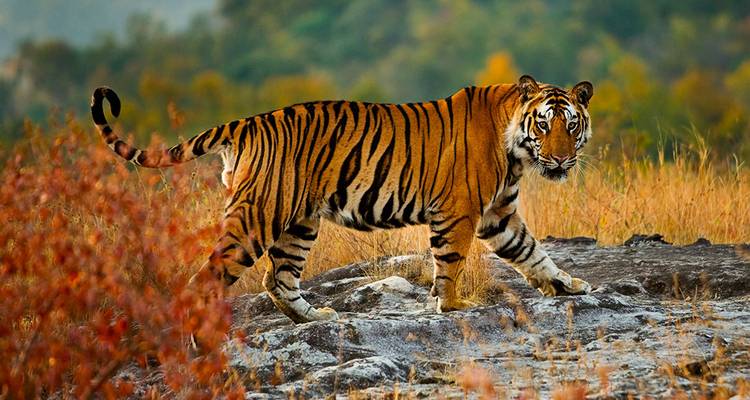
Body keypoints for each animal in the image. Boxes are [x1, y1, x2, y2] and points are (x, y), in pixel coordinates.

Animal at [91, 75, 593, 324]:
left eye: (571, 126)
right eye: (544, 125)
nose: (561, 160)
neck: (516, 151)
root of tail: (247, 122)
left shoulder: (498, 214)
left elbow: (532, 252)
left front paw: (568, 285)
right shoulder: (459, 211)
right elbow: (450, 263)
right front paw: (452, 307)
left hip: (298, 223)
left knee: (278, 279)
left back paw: (315, 317)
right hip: (257, 217)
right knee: (207, 279)